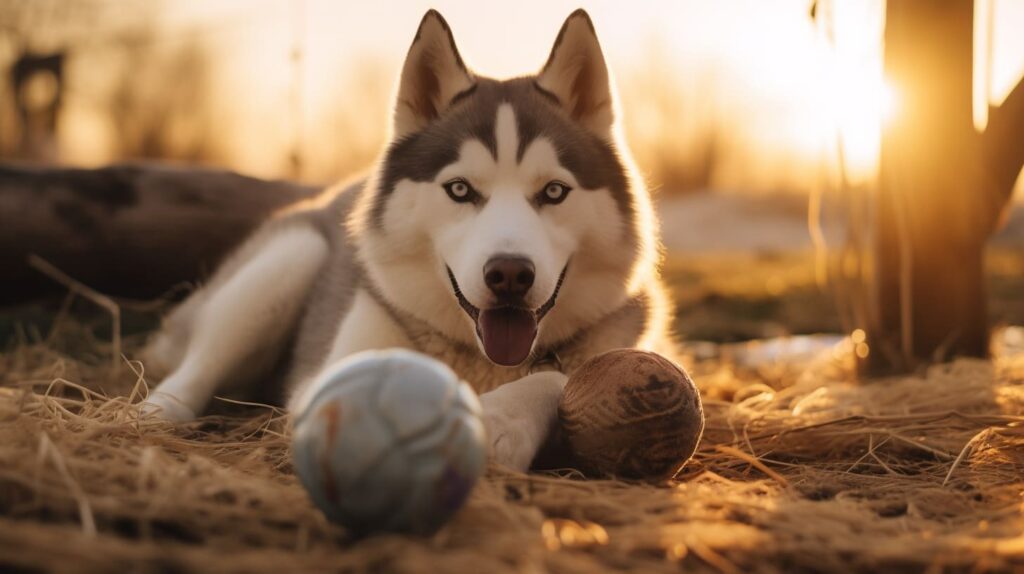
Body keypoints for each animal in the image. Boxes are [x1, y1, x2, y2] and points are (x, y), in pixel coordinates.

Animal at [138, 8, 679, 472]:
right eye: (459, 190)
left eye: (553, 191)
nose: (509, 274)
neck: (483, 360)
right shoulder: (332, 371)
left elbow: (561, 376)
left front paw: (501, 418)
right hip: (290, 259)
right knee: (194, 368)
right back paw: (155, 414)